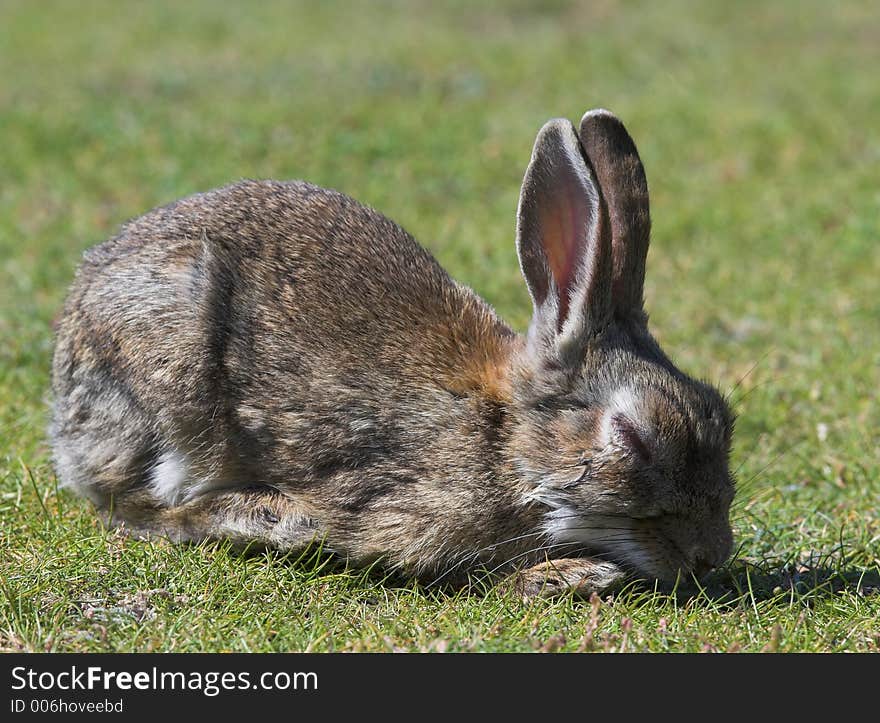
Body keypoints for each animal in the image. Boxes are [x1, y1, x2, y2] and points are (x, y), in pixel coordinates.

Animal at [49, 110, 736, 600]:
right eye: (635, 438)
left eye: (723, 416)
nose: (711, 555)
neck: (502, 439)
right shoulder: (399, 510)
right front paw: (568, 576)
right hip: (174, 369)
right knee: (139, 506)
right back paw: (272, 517)